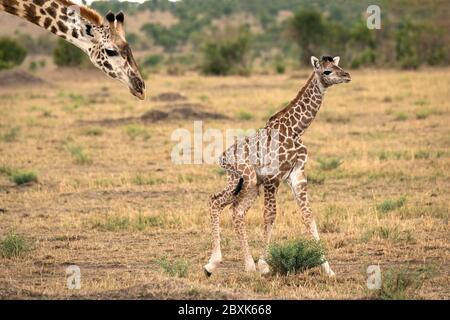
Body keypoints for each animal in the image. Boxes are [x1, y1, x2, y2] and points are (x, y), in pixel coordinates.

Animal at [204, 55, 352, 278]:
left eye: (337, 65)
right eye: (327, 71)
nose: (347, 75)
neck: (295, 129)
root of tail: (223, 157)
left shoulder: (297, 175)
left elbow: (308, 216)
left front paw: (328, 269)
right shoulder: (272, 178)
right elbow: (270, 216)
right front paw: (264, 265)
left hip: (249, 185)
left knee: (233, 210)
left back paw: (228, 266)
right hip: (245, 179)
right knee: (220, 203)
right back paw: (231, 264)